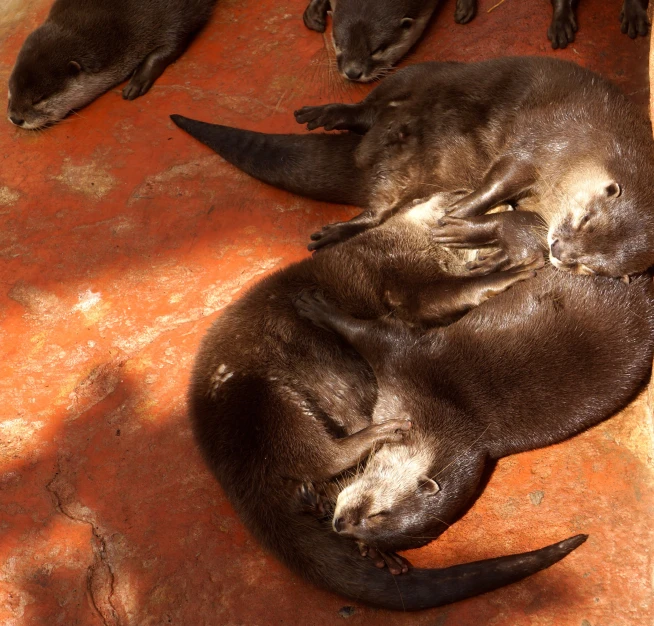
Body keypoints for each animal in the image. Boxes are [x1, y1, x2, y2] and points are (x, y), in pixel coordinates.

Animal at [7, 0, 218, 128]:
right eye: (10, 91)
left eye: (39, 99)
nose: (15, 118)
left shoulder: (171, 15)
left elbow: (174, 43)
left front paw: (137, 82)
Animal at [172, 56, 654, 278]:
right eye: (585, 218)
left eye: (589, 268)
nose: (561, 251)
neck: (590, 146)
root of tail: (368, 161)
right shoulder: (543, 145)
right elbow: (499, 179)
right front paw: (460, 213)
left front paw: (469, 229)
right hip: (423, 73)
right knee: (375, 105)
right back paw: (331, 113)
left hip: (409, 183)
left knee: (381, 210)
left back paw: (338, 231)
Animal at [294, 270, 654, 552]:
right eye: (377, 513)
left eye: (372, 524)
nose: (340, 524)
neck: (445, 411)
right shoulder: (409, 358)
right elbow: (364, 329)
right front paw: (315, 306)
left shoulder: (402, 360)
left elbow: (367, 331)